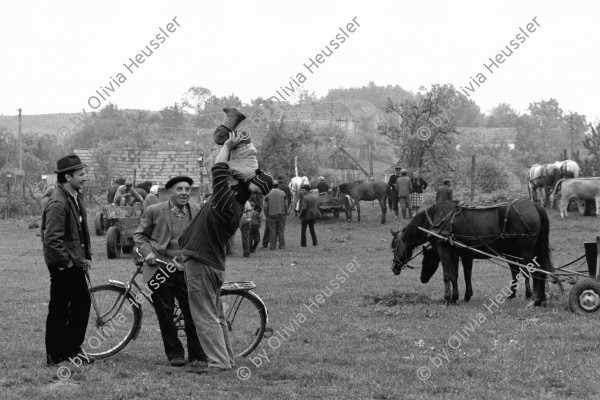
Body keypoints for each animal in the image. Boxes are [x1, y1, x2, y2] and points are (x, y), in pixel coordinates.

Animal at [390, 199, 552, 306]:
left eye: (394, 246)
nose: (394, 268)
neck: (437, 219)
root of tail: (534, 205)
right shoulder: (458, 253)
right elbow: (458, 275)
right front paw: (457, 297)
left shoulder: (445, 250)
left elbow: (447, 275)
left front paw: (447, 298)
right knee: (539, 271)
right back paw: (541, 299)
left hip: (525, 253)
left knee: (536, 271)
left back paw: (535, 300)